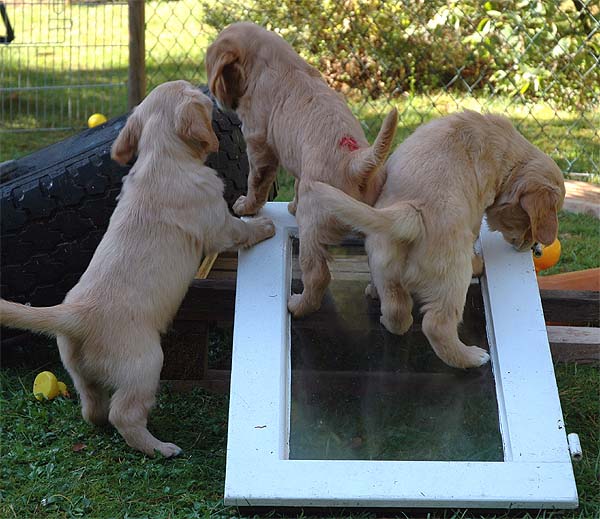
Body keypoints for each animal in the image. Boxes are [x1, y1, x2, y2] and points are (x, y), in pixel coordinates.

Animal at [0, 79, 276, 458]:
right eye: (197, 93)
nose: (209, 90)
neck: (162, 158)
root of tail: (75, 315)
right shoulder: (219, 226)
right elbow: (242, 230)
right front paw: (264, 226)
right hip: (145, 363)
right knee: (124, 414)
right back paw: (160, 448)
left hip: (80, 372)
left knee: (92, 407)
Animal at [206, 21, 398, 316]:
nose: (215, 100)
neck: (277, 62)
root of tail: (356, 162)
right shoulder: (297, 164)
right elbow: (294, 184)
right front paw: (291, 206)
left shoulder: (259, 143)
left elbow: (256, 182)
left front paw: (246, 206)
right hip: (371, 220)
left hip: (312, 227)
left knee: (318, 274)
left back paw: (298, 305)